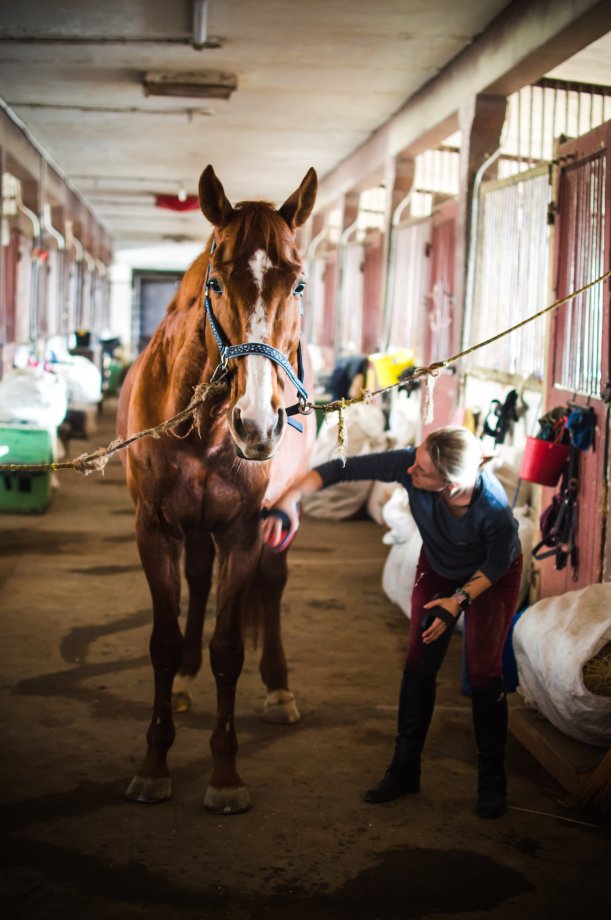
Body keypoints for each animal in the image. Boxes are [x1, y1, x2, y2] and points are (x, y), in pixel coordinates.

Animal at [120, 165, 320, 812]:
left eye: (299, 284)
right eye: (214, 281)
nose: (256, 423)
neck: (204, 429)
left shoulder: (242, 532)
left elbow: (230, 649)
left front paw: (225, 775)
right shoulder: (155, 529)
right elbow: (162, 640)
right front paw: (154, 763)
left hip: (280, 518)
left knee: (272, 585)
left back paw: (279, 690)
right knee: (199, 580)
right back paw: (185, 679)